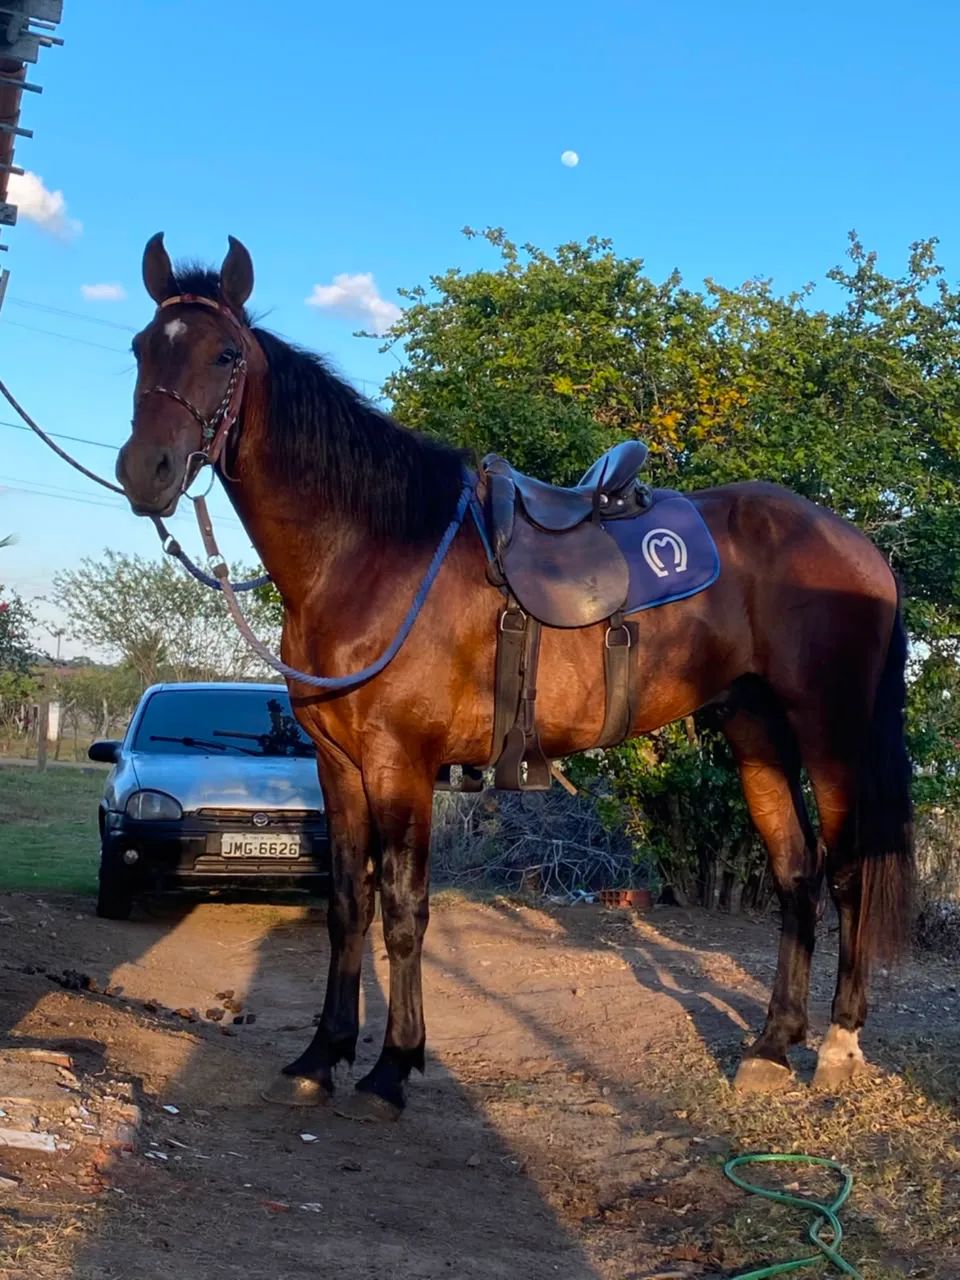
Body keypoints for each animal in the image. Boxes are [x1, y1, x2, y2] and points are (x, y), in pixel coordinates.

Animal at [115, 233, 914, 1120]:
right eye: (142, 347)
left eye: (224, 354)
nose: (145, 471)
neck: (370, 553)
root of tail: (857, 546)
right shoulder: (339, 765)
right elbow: (348, 907)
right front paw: (321, 1055)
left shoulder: (400, 764)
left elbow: (403, 912)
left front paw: (392, 1067)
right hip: (755, 729)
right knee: (795, 872)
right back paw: (773, 1046)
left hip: (830, 731)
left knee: (849, 872)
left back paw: (839, 1045)